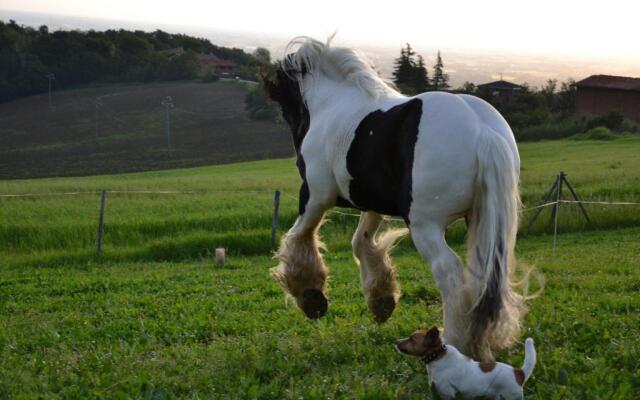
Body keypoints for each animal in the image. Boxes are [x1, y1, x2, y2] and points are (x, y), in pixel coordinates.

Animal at [262, 36, 524, 360]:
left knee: (449, 272)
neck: (333, 102)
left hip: (425, 226)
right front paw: (381, 300)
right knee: (479, 277)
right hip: (480, 220)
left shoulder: (315, 196)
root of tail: (483, 132)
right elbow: (361, 243)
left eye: (287, 103)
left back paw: (453, 342)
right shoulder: (373, 203)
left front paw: (311, 296)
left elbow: (299, 236)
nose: (297, 151)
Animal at [396, 326, 536, 398]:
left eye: (412, 339)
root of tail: (519, 373)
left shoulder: (447, 393)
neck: (437, 356)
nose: (395, 341)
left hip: (511, 396)